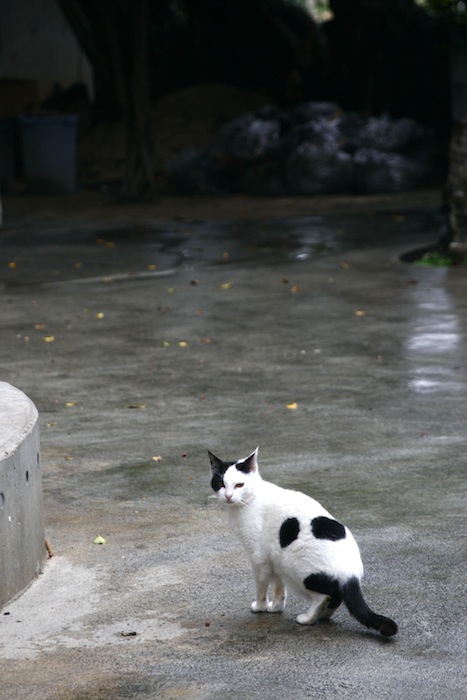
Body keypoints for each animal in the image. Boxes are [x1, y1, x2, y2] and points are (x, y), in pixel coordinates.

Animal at [209, 447, 397, 637]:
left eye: (239, 485)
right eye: (221, 484)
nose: (228, 496)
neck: (250, 500)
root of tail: (351, 575)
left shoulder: (259, 558)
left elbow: (261, 588)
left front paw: (260, 607)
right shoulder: (274, 558)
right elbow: (279, 587)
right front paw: (276, 607)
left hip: (296, 566)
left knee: (323, 596)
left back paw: (308, 618)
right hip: (287, 563)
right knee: (335, 597)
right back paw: (322, 616)